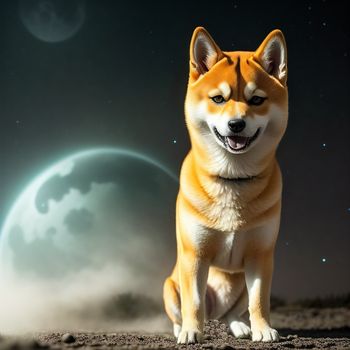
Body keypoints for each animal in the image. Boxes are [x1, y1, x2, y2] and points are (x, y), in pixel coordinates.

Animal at [163, 28, 288, 344]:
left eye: (256, 100)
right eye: (218, 98)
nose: (236, 124)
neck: (232, 180)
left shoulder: (261, 256)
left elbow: (259, 301)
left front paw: (263, 329)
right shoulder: (194, 256)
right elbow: (193, 302)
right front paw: (191, 332)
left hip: (240, 283)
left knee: (232, 313)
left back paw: (241, 326)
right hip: (170, 286)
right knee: (187, 311)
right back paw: (183, 328)